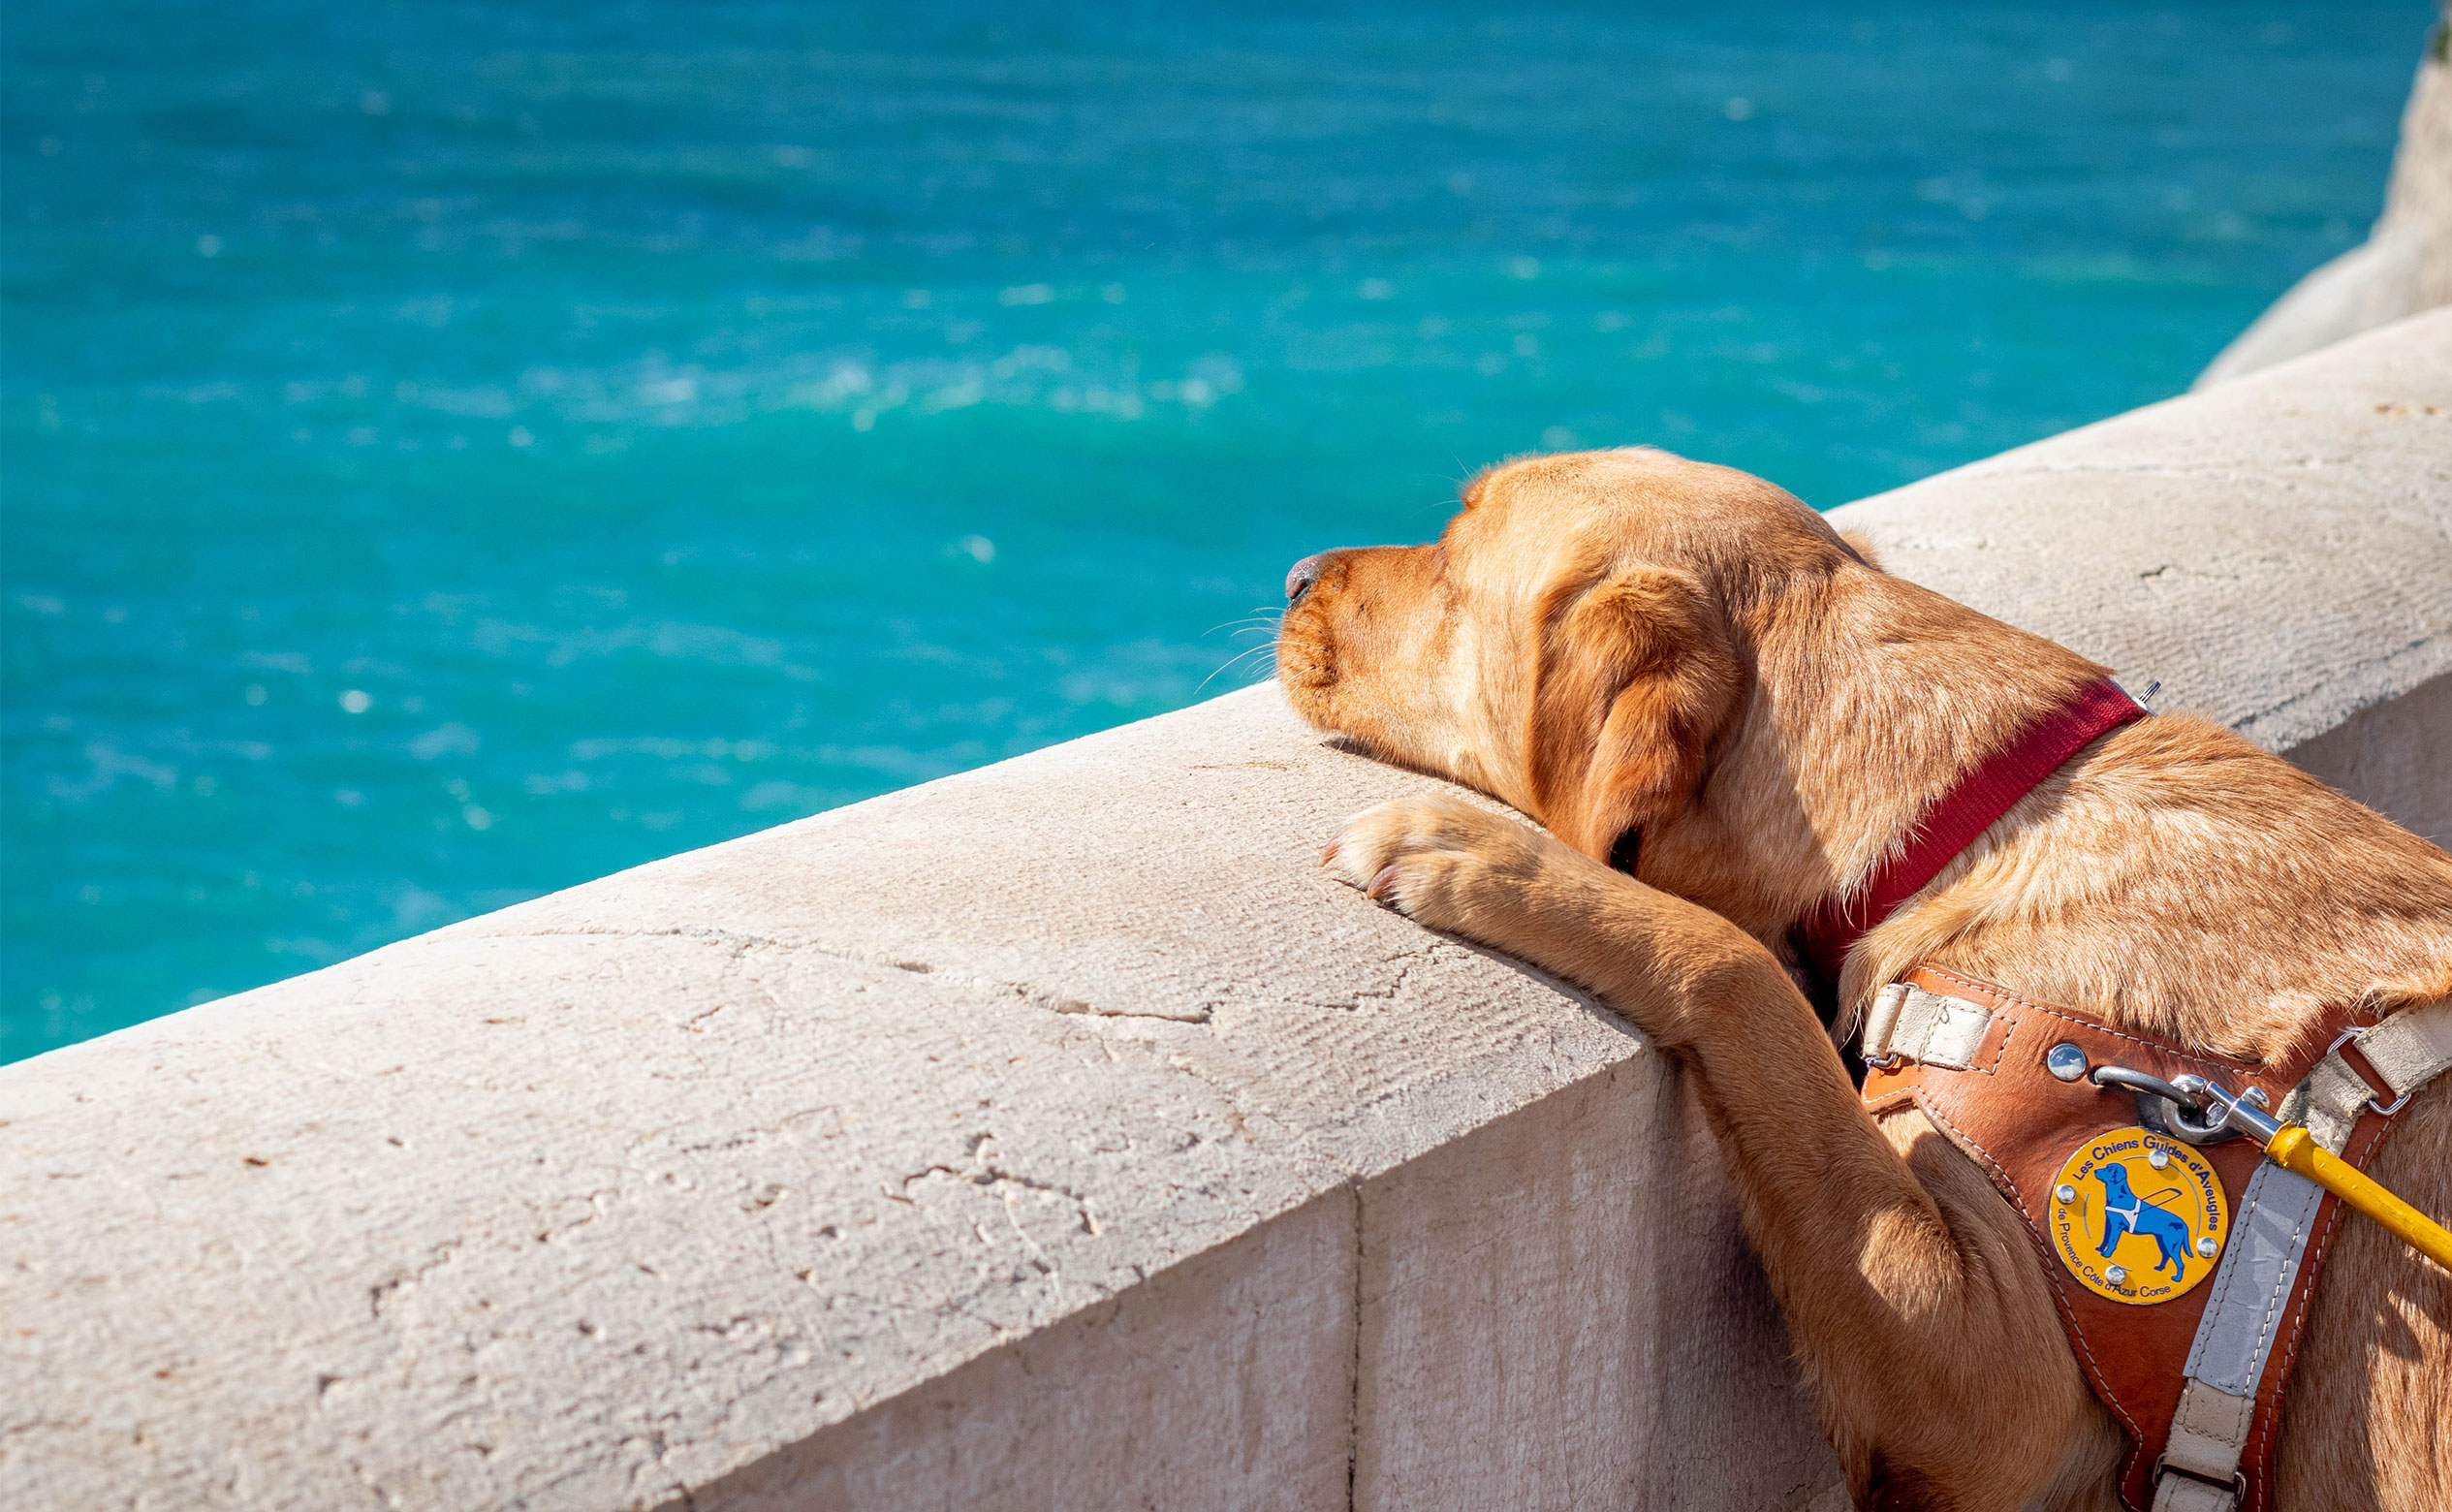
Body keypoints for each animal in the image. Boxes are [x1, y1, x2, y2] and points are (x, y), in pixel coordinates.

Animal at [1274, 448, 2441, 1509]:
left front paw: (1495, 861)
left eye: (1454, 551)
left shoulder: (1988, 1383)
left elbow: (1743, 971)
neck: (1969, 816)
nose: (1293, 574)